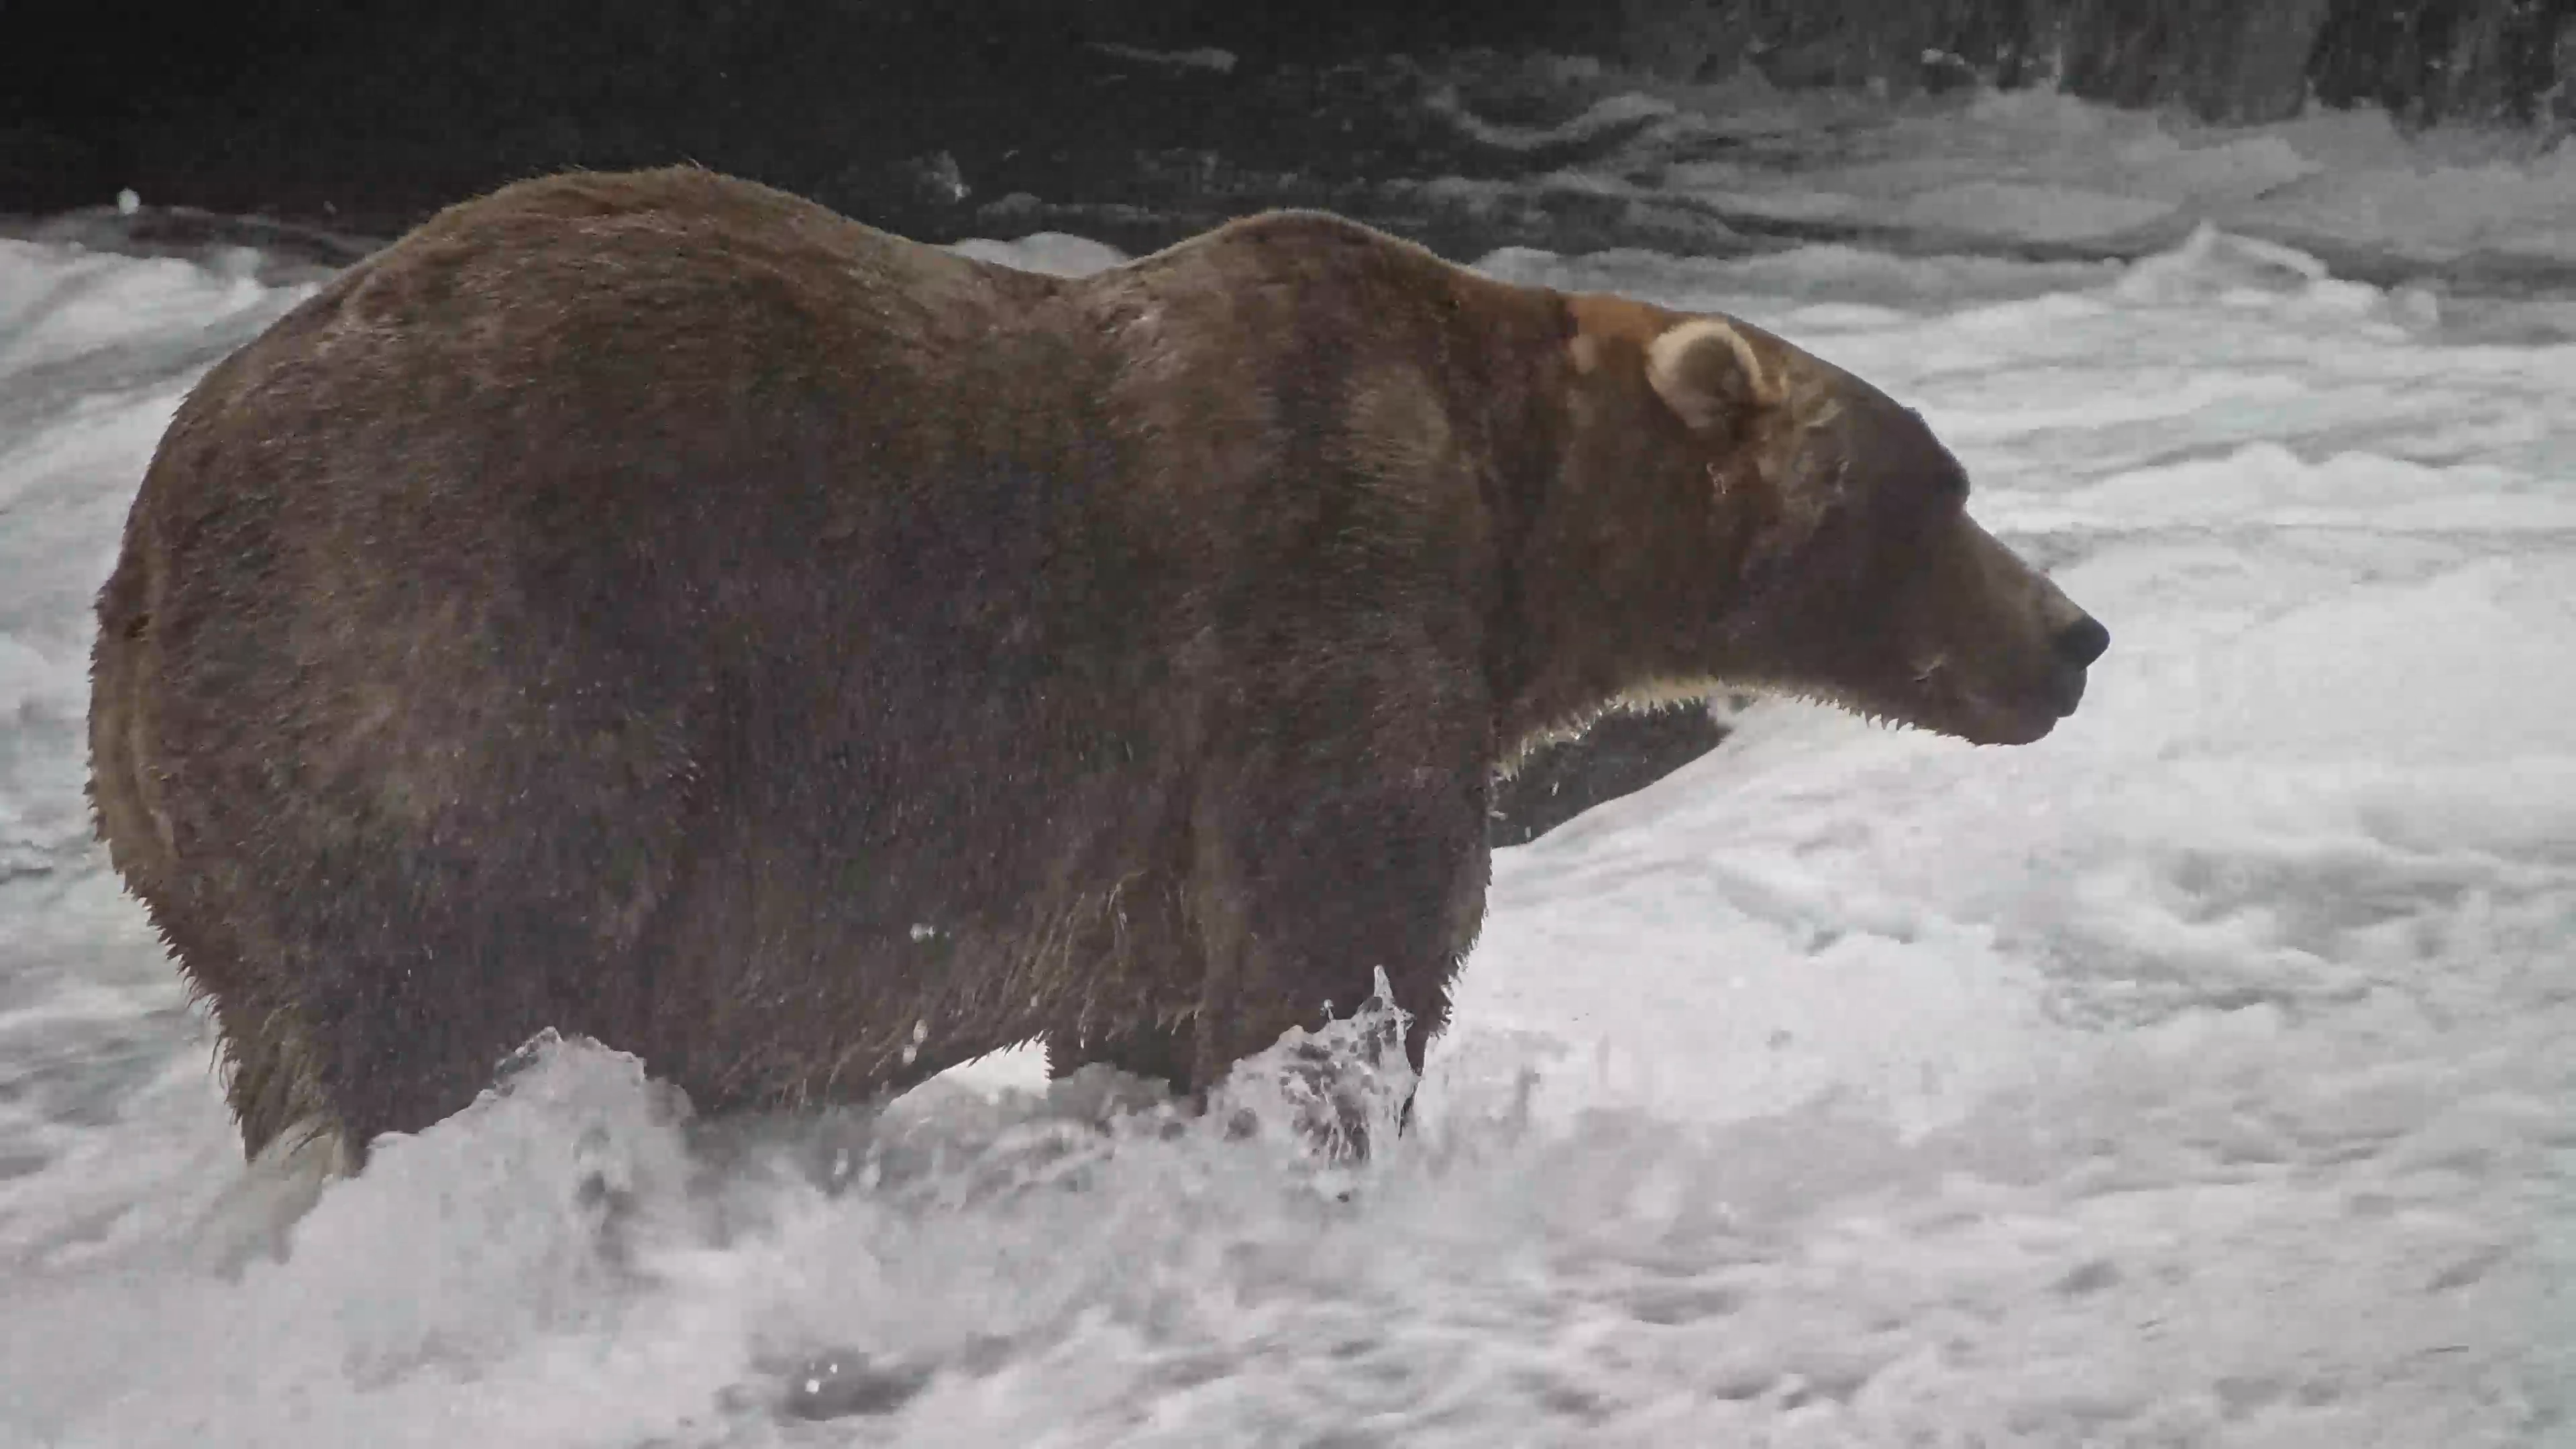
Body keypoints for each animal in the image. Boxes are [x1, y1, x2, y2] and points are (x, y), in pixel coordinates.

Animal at [87, 166, 2108, 1171]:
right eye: (1940, 486)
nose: (2075, 636)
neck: (1519, 516)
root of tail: (145, 550)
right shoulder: (1320, 591)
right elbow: (1337, 946)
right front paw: (1330, 1131)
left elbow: (1149, 1004)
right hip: (459, 654)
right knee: (458, 977)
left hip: (205, 835)